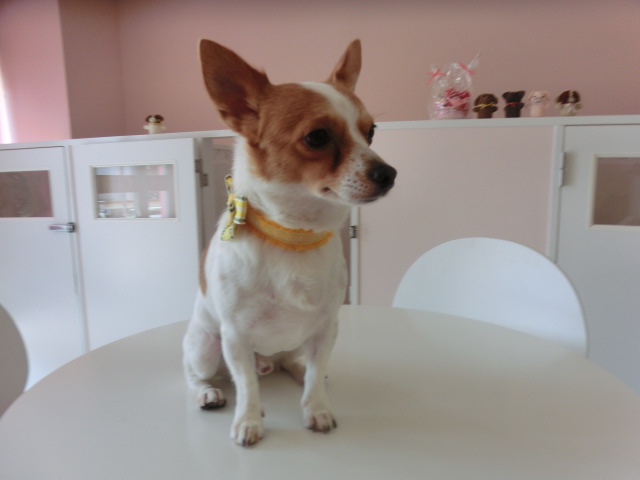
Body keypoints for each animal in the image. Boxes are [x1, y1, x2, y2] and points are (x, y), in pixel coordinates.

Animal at [182, 39, 396, 447]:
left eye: (372, 132)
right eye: (318, 137)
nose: (389, 173)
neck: (295, 235)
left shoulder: (326, 328)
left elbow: (314, 374)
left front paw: (317, 409)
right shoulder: (235, 337)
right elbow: (247, 386)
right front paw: (249, 420)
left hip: (299, 339)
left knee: (291, 362)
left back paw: (294, 369)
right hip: (205, 345)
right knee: (197, 374)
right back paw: (208, 392)